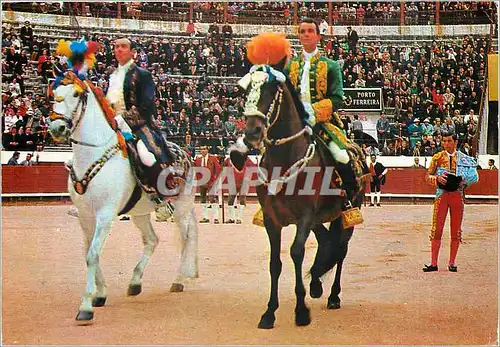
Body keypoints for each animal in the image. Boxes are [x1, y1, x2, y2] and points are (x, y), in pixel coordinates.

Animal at [47, 72, 198, 324]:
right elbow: (90, 253)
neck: (93, 154)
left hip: (182, 208)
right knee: (152, 240)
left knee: (186, 239)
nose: (56, 127)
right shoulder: (86, 217)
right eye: (54, 92)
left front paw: (86, 306)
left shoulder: (105, 215)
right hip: (140, 213)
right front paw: (100, 295)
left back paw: (179, 280)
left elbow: (92, 254)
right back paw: (135, 282)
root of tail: (185, 154)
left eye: (76, 94)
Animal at [230, 64, 368, 330]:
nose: (252, 132)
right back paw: (315, 284)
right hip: (318, 219)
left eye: (271, 90)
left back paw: (333, 296)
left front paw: (301, 311)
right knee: (326, 241)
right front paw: (269, 313)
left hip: (348, 212)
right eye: (246, 90)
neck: (284, 159)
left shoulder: (304, 217)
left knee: (341, 249)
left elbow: (296, 252)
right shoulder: (272, 220)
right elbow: (275, 262)